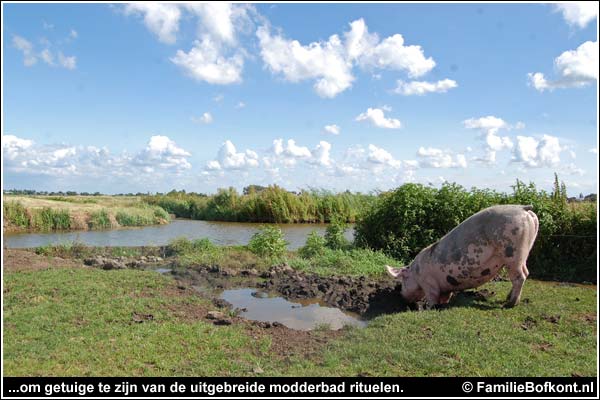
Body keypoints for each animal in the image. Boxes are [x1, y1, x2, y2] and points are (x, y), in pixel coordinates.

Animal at [386, 205, 540, 308]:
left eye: (403, 280)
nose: (401, 296)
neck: (416, 272)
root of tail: (523, 208)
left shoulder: (428, 283)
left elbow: (432, 297)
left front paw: (429, 308)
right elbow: (445, 296)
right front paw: (444, 304)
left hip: (513, 252)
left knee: (519, 277)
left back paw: (509, 304)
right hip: (525, 250)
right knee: (526, 272)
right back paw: (508, 298)